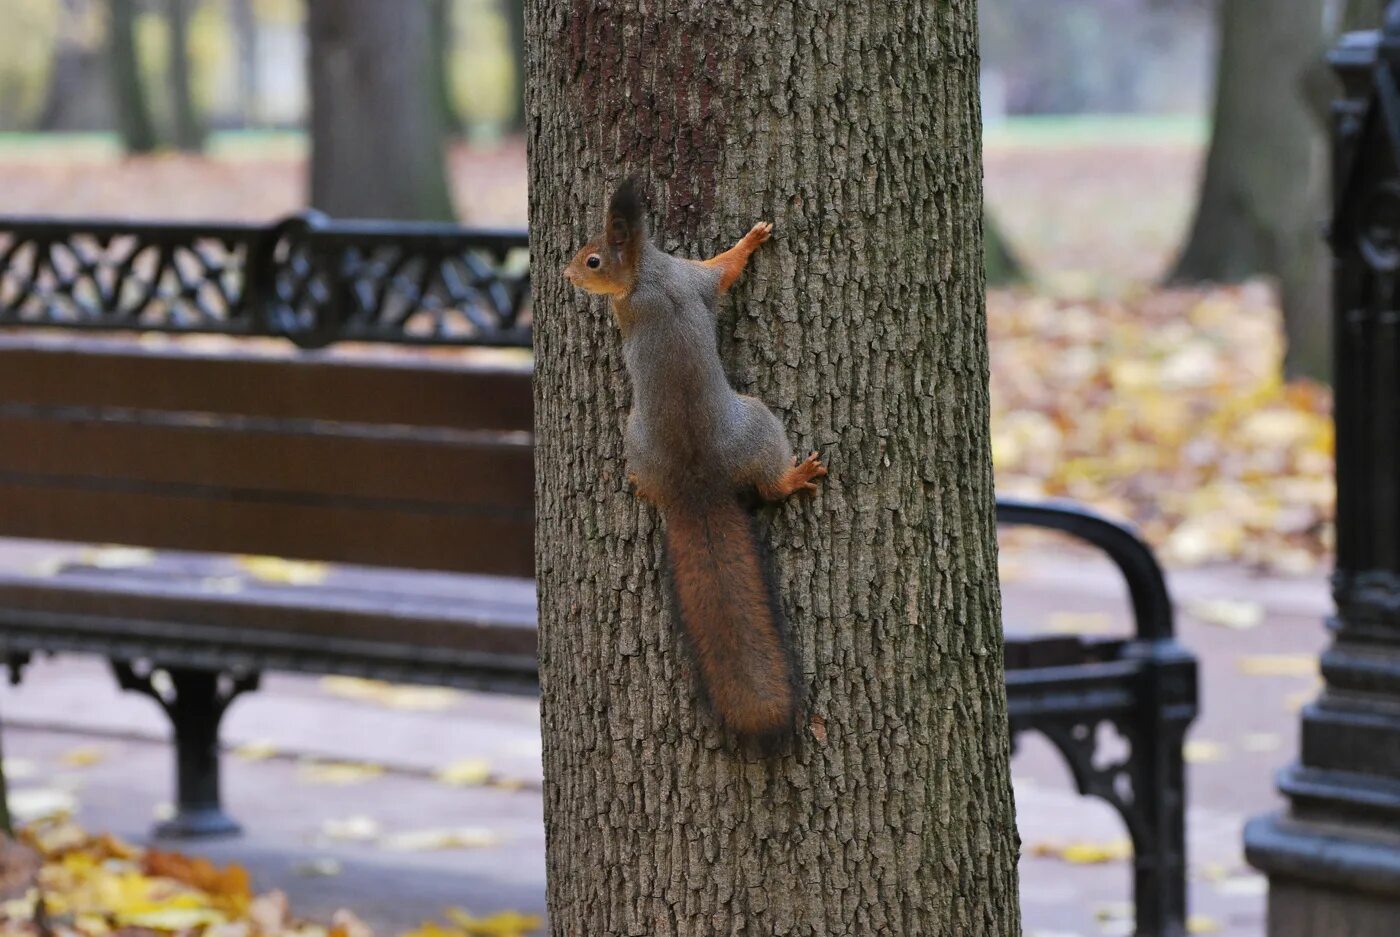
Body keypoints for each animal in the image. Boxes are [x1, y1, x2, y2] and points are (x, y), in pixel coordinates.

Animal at [562, 179, 823, 739]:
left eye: (592, 259)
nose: (565, 274)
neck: (647, 275)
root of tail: (696, 484)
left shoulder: (680, 279)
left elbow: (722, 270)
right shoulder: (691, 279)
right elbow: (723, 270)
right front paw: (751, 239)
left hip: (638, 441)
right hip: (759, 422)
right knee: (770, 487)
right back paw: (795, 476)